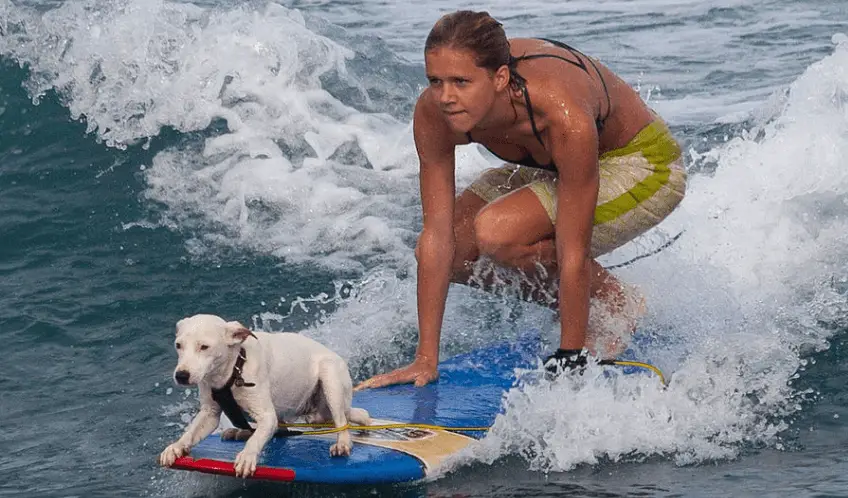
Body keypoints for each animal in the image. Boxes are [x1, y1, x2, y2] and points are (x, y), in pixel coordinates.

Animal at [157, 314, 370, 476]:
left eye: (204, 347)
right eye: (178, 345)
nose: (181, 375)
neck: (234, 371)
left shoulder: (267, 416)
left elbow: (257, 439)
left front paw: (247, 457)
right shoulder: (210, 413)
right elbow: (191, 432)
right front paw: (176, 447)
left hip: (330, 380)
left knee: (342, 419)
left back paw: (343, 443)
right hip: (318, 412)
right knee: (354, 414)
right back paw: (239, 432)